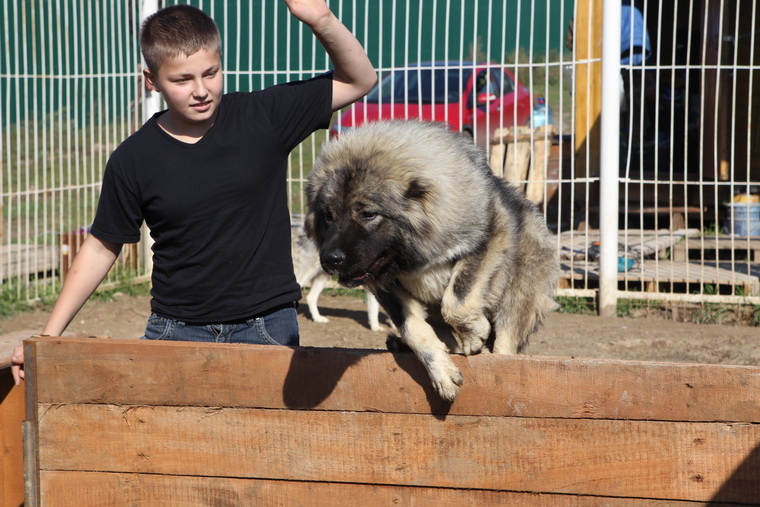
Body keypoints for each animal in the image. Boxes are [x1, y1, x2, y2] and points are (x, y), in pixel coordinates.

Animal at [302, 120, 560, 400]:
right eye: (328, 215)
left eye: (368, 214)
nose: (330, 259)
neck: (414, 258)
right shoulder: (387, 287)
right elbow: (414, 329)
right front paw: (441, 370)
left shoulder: (487, 241)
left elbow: (456, 301)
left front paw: (474, 334)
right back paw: (401, 344)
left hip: (516, 300)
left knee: (504, 346)